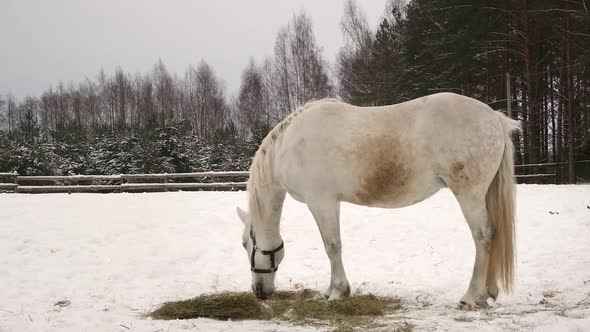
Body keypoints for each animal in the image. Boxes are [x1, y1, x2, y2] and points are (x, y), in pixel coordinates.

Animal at [238, 92, 520, 308]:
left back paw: (471, 297)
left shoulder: (321, 201)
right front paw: (331, 291)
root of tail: (494, 117)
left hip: (469, 193)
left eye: (244, 243)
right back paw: (488, 293)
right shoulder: (331, 202)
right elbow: (333, 246)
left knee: (483, 236)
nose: (258, 291)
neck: (290, 146)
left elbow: (332, 246)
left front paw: (338, 292)